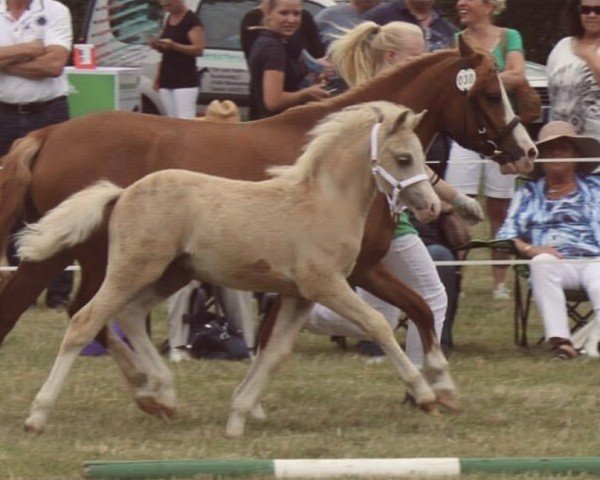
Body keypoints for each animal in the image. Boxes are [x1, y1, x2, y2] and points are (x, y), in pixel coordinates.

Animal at [16, 101, 442, 436]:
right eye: (403, 158)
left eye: (422, 155)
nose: (432, 207)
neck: (322, 202)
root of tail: (122, 193)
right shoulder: (326, 285)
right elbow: (378, 324)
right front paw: (425, 395)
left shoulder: (300, 295)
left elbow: (275, 353)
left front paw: (238, 416)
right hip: (132, 269)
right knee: (84, 321)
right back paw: (38, 415)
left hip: (173, 274)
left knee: (132, 314)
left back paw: (163, 395)